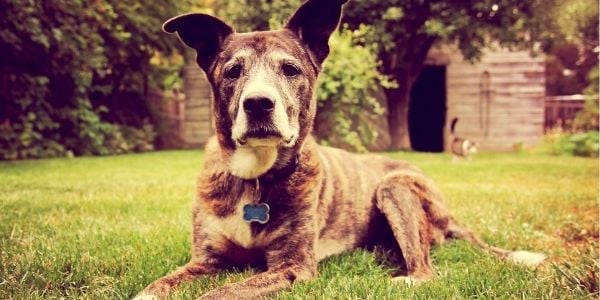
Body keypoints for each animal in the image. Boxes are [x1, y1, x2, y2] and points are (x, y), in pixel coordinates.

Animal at [134, 1, 548, 298]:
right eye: (233, 71)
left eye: (290, 69)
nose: (258, 103)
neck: (256, 177)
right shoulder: (205, 260)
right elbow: (155, 287)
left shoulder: (292, 266)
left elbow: (219, 294)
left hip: (394, 187)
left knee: (427, 271)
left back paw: (403, 278)